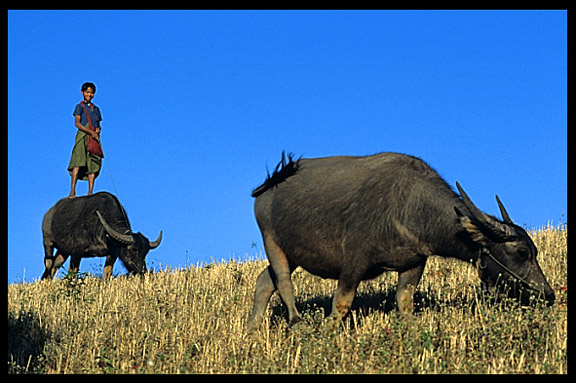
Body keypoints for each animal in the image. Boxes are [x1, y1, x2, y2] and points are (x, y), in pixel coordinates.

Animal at [246, 152, 552, 332]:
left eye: (534, 251)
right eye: (522, 252)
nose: (548, 294)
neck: (412, 208)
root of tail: (267, 187)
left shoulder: (413, 264)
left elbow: (404, 302)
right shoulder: (354, 263)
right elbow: (342, 304)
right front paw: (328, 332)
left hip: (293, 253)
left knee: (264, 281)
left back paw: (251, 329)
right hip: (272, 242)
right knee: (283, 280)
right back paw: (296, 322)